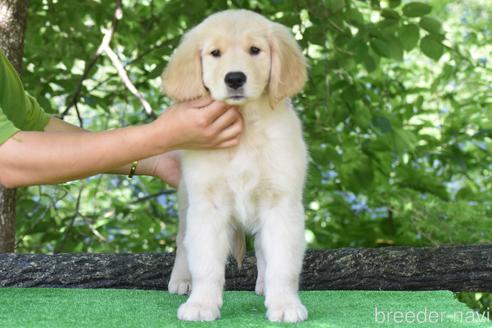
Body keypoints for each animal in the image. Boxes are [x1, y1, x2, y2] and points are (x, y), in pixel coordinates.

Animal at [161, 9, 308, 322]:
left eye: (255, 50)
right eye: (215, 53)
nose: (235, 78)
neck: (245, 127)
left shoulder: (281, 204)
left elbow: (282, 263)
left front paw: (285, 304)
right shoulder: (208, 206)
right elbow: (206, 264)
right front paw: (201, 304)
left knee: (263, 251)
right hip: (185, 201)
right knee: (182, 243)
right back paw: (182, 279)